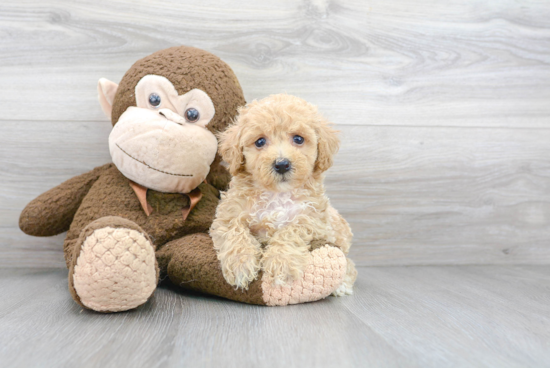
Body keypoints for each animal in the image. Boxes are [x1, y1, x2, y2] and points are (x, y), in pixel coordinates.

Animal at [210, 93, 358, 294]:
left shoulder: (314, 220)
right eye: (260, 141)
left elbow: (291, 230)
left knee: (350, 266)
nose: (281, 164)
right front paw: (240, 265)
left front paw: (281, 264)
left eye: (298, 139)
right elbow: (235, 232)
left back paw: (342, 285)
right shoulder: (228, 215)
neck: (277, 194)